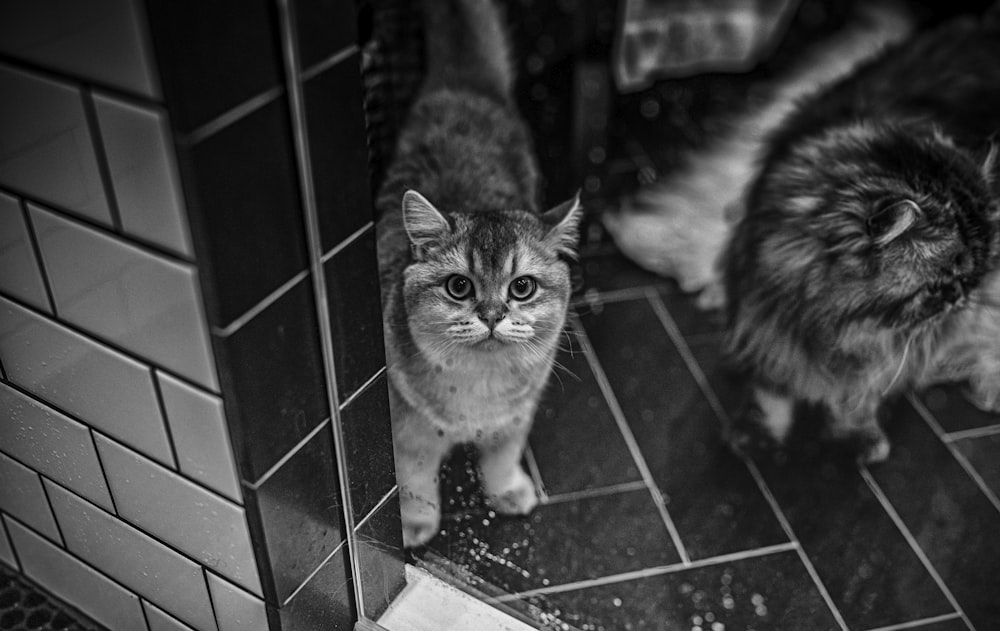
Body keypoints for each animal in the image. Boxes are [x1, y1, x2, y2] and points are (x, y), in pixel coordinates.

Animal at [376, 0, 584, 548]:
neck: (479, 391)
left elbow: (501, 459)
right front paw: (416, 522)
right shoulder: (407, 437)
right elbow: (415, 481)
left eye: (522, 287)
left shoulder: (515, 421)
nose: (492, 315)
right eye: (459, 286)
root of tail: (463, 84)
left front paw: (507, 490)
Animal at [724, 9, 1000, 464]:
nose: (964, 297)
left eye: (974, 274)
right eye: (942, 282)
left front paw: (857, 433)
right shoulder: (765, 314)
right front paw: (757, 434)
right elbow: (771, 385)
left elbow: (860, 391)